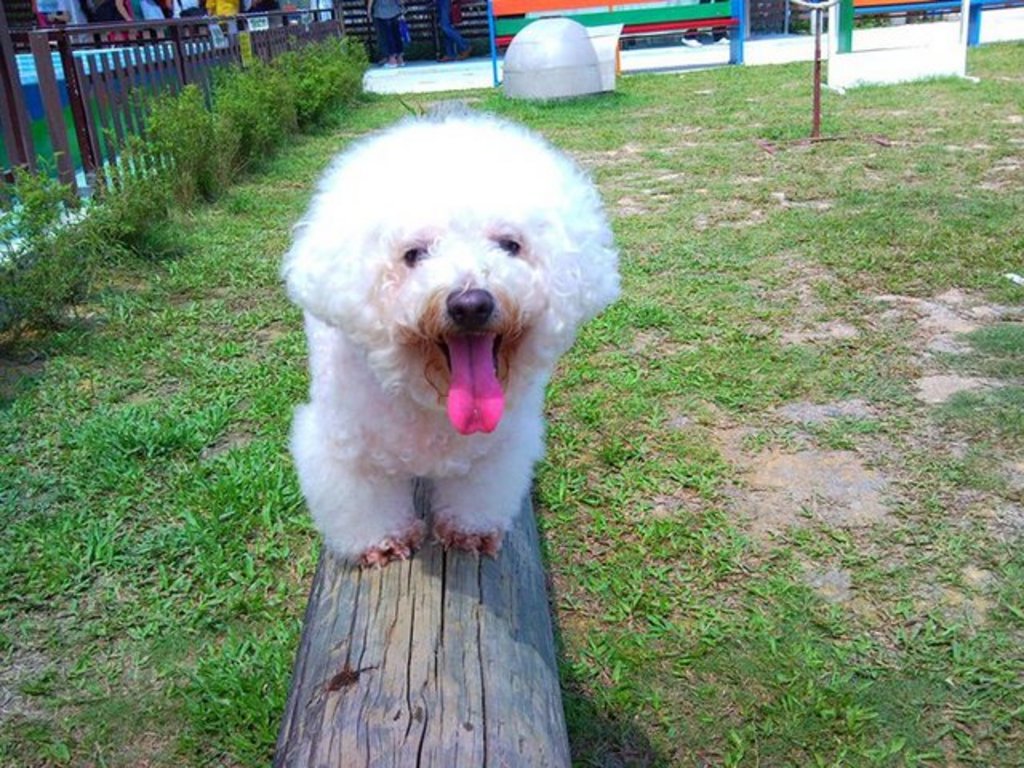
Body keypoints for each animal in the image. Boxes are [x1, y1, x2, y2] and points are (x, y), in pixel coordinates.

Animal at [283, 111, 619, 566]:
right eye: (414, 254)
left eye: (510, 245)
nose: (471, 304)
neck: (434, 398)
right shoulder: (345, 451)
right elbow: (365, 503)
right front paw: (383, 542)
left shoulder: (497, 450)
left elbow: (477, 496)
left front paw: (468, 533)